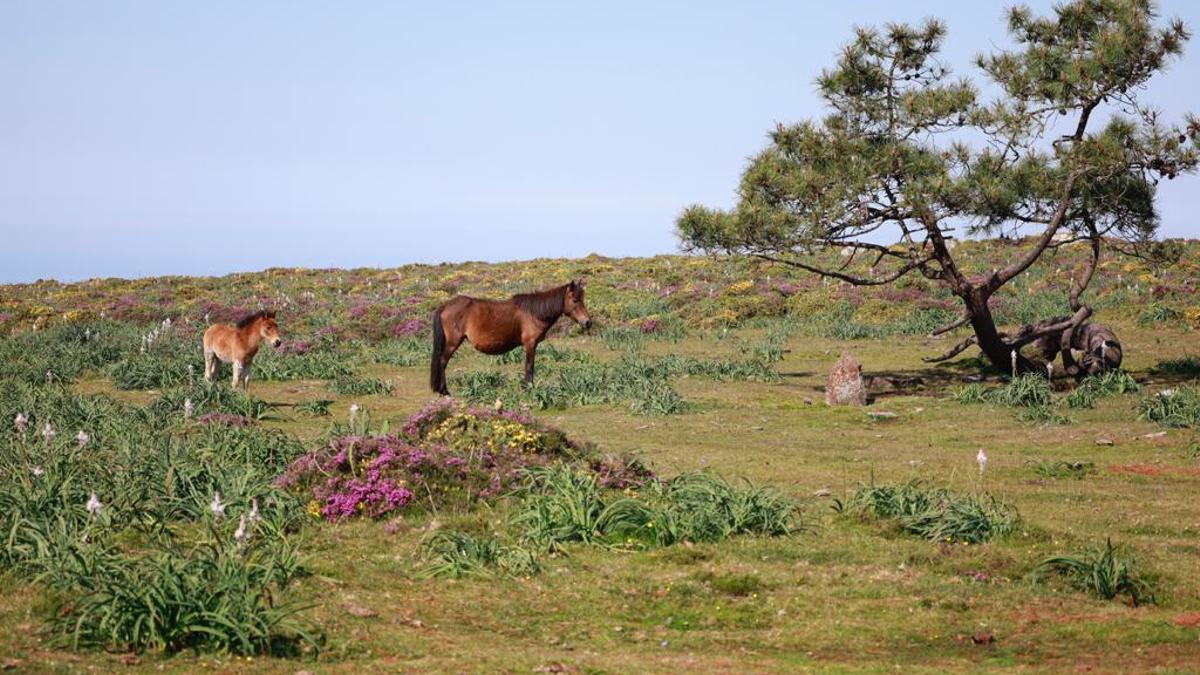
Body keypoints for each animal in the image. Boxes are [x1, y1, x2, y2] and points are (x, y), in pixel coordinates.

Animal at [434, 278, 597, 393]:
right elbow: (530, 366)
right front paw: (529, 387)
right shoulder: (530, 344)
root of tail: (445, 306)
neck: (534, 313)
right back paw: (444, 391)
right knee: (442, 361)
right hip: (453, 343)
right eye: (575, 300)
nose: (588, 322)